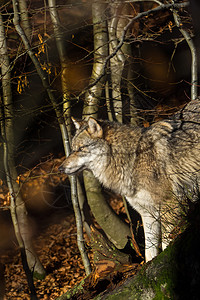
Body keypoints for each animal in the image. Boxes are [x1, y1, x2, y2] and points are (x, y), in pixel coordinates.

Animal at [59, 99, 200, 262]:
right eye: (72, 149)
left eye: (80, 149)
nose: (60, 168)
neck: (131, 159)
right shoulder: (147, 213)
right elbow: (149, 251)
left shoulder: (169, 205)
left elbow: (166, 243)